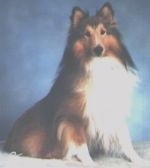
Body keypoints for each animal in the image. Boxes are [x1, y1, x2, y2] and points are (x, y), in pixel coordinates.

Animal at [3, 2, 143, 165]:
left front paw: (138, 160)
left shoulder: (113, 110)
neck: (97, 65)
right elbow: (81, 143)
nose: (98, 49)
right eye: (86, 34)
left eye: (103, 32)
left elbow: (125, 139)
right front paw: (90, 163)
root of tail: (8, 141)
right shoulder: (72, 118)